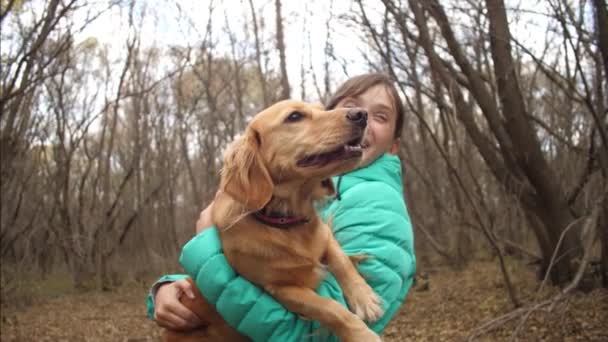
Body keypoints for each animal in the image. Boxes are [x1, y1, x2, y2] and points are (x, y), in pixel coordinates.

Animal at [165, 101, 384, 342]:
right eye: (294, 116)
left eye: (322, 108)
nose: (361, 114)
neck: (285, 221)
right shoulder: (280, 289)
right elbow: (330, 308)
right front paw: (362, 334)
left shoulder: (325, 237)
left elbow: (342, 261)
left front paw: (364, 297)